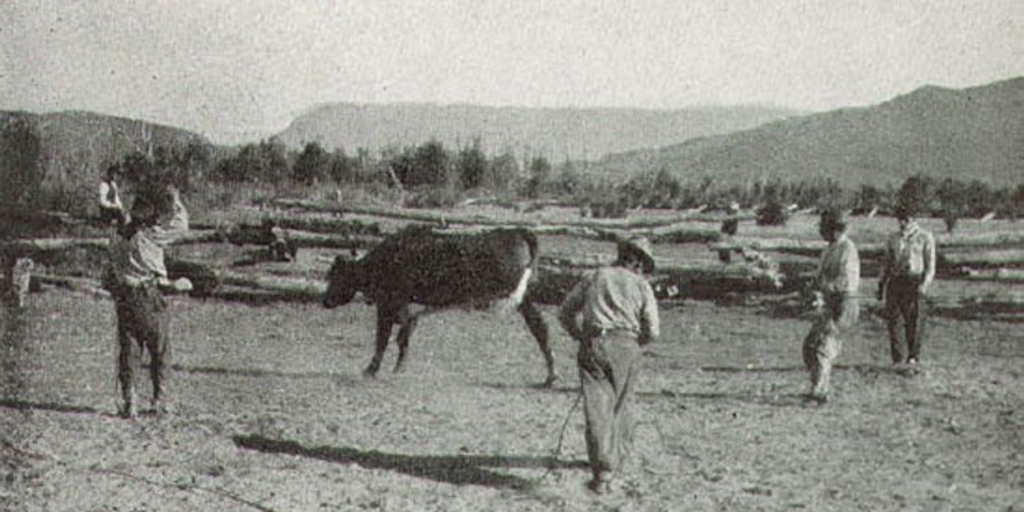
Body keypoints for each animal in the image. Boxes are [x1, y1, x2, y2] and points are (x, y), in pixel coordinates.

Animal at [323, 226, 557, 385]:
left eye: (336, 276)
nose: (325, 300)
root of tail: (517, 231)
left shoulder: (388, 303)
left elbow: (384, 337)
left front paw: (372, 369)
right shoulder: (401, 305)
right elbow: (404, 332)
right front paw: (399, 366)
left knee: (540, 328)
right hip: (526, 298)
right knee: (540, 329)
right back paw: (550, 376)